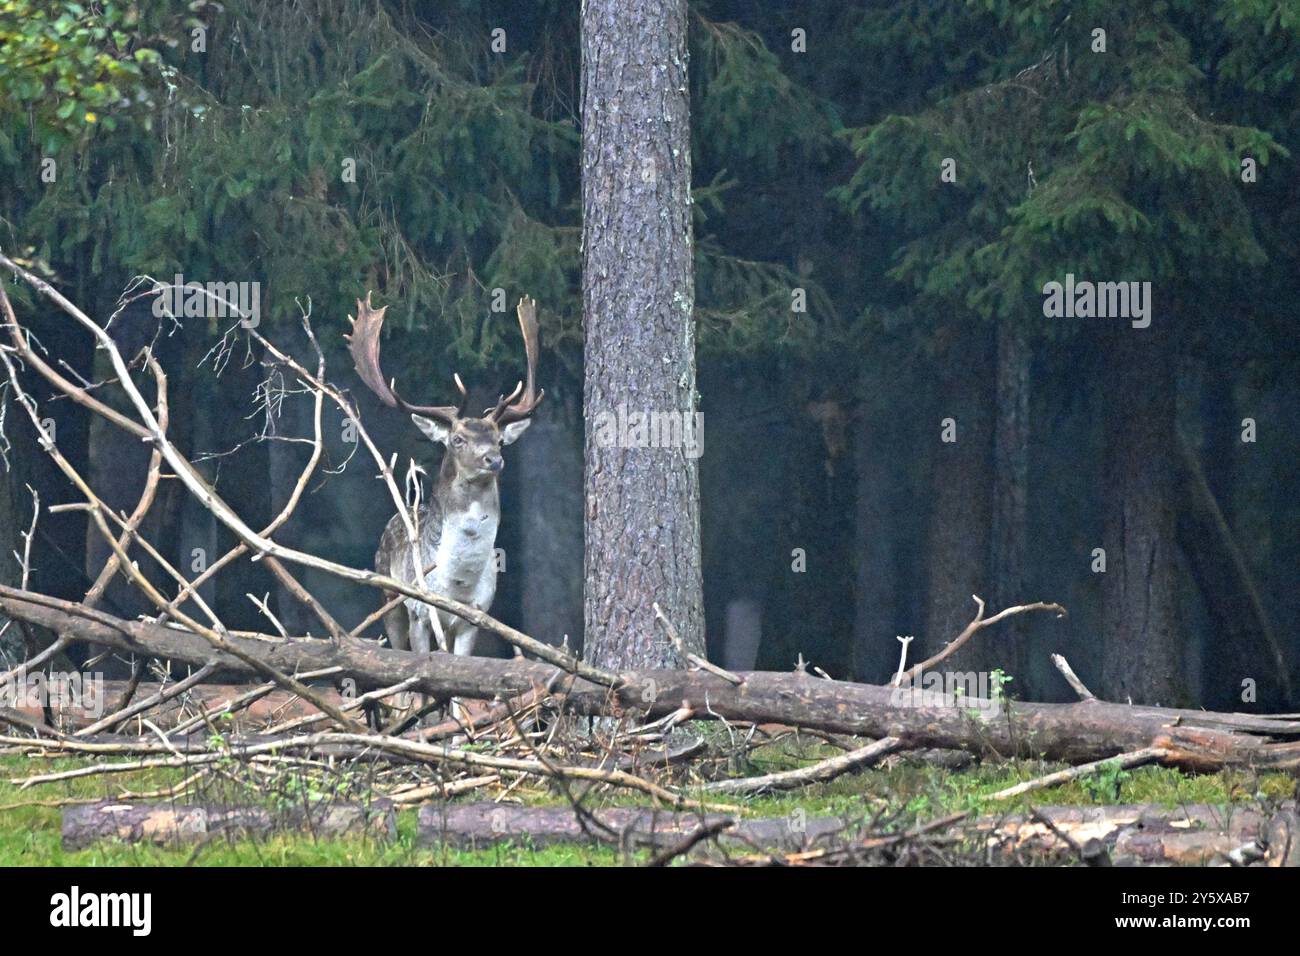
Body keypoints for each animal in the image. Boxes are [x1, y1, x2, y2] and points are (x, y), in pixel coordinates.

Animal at [347, 292, 543, 659]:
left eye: (499, 440)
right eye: (457, 439)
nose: (493, 459)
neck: (456, 587)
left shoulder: (475, 618)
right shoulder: (420, 613)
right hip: (390, 597)